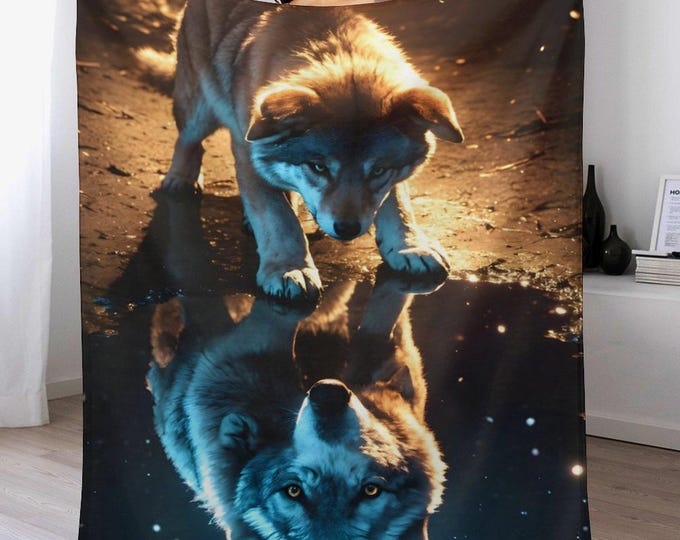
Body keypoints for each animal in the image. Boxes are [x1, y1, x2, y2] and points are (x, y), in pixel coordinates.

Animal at [161, 0, 464, 301]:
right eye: (319, 167)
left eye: (378, 170)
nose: (347, 229)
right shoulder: (249, 155)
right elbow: (279, 219)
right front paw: (289, 268)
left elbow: (397, 204)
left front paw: (409, 246)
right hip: (199, 106)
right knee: (187, 141)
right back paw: (180, 180)